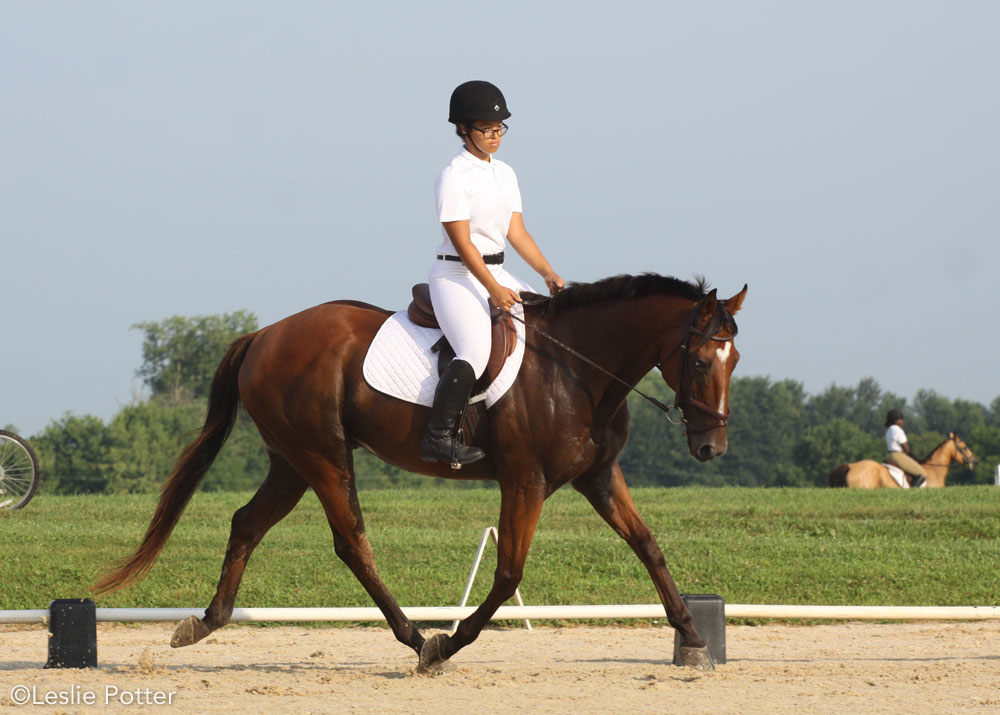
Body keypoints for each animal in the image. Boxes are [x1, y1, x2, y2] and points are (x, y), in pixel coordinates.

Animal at [95, 272, 752, 672]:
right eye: (698, 361)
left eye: (735, 358)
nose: (711, 447)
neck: (575, 369)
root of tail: (264, 335)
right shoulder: (525, 482)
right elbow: (508, 574)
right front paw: (448, 644)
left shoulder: (598, 477)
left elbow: (648, 545)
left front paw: (694, 639)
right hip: (323, 455)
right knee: (351, 541)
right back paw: (414, 638)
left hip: (291, 462)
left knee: (247, 523)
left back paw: (205, 623)